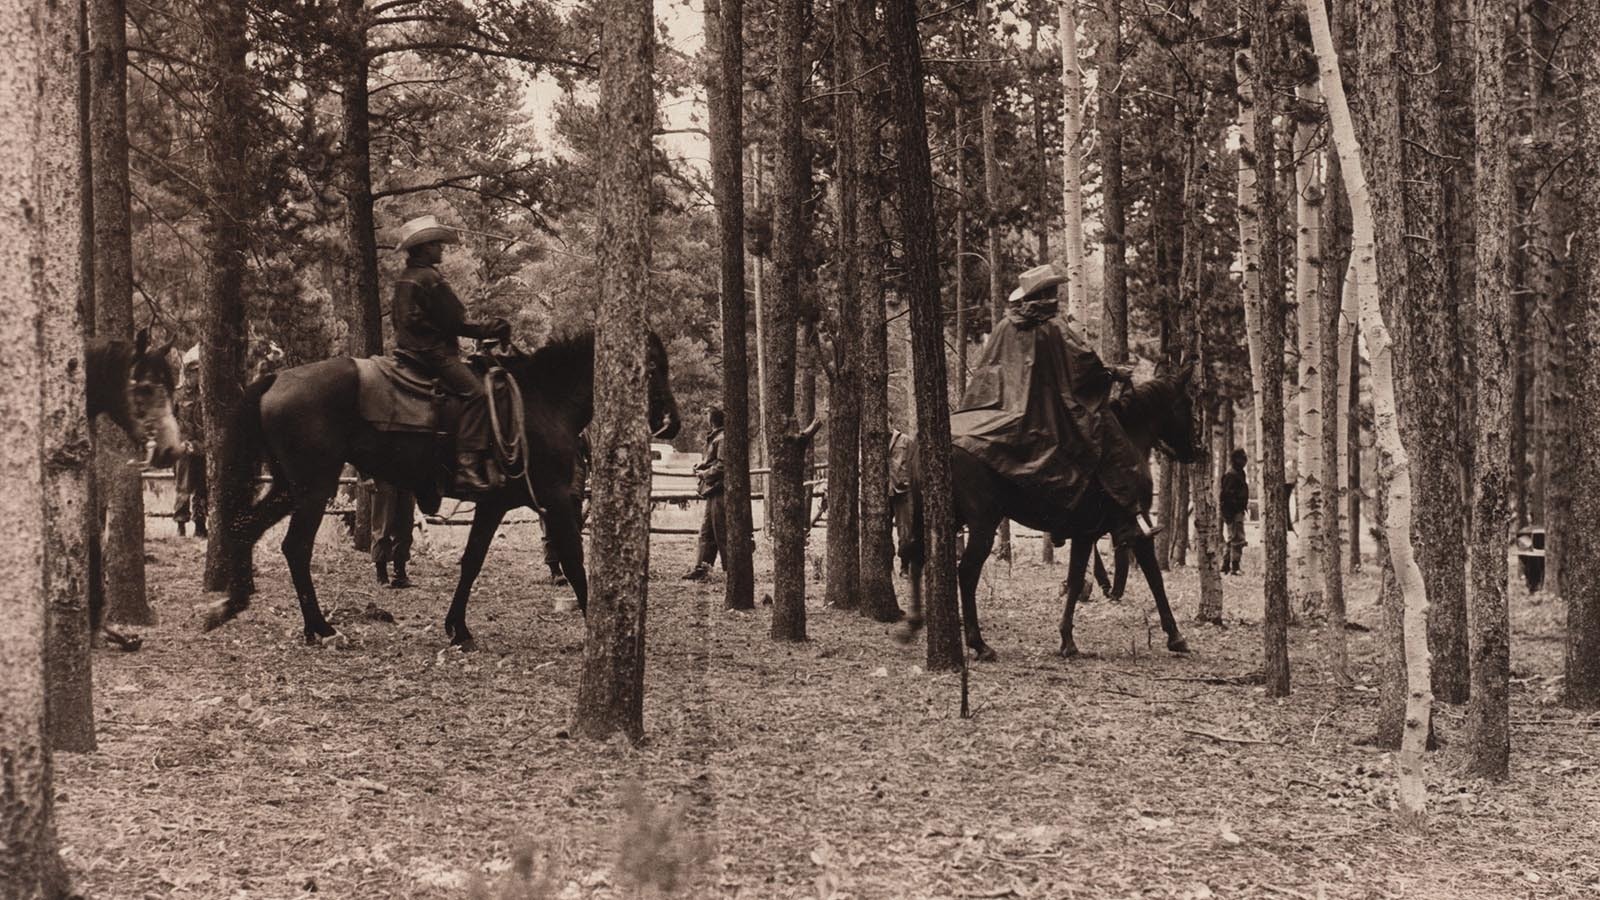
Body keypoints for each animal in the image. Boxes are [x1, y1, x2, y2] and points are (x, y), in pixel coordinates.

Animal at [203, 329, 678, 643]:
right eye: (654, 366)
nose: (671, 421)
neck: (543, 402)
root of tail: (276, 378)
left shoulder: (493, 505)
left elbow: (471, 562)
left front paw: (458, 627)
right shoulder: (558, 500)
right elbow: (576, 563)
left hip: (289, 487)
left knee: (246, 528)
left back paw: (233, 602)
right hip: (314, 488)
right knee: (296, 547)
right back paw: (317, 625)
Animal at [915, 360, 1203, 662]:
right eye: (1187, 403)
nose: (1197, 450)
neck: (1130, 438)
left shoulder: (1089, 533)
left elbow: (1077, 580)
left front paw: (1067, 640)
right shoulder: (1129, 528)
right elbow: (1152, 577)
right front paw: (1176, 636)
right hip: (983, 523)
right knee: (967, 573)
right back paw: (979, 644)